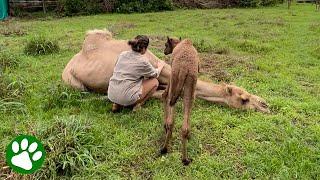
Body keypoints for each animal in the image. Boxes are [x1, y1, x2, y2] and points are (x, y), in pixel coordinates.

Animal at [161, 37, 199, 165]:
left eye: (166, 44)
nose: (165, 51)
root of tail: (184, 69)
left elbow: (164, 95)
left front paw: (165, 126)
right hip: (191, 86)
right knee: (185, 127)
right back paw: (185, 159)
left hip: (174, 80)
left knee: (171, 118)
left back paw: (164, 148)